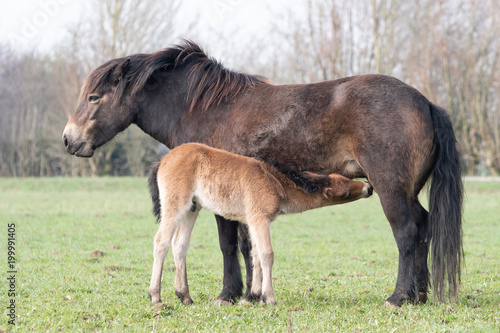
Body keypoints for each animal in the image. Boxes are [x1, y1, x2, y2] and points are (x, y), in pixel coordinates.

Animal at [146, 141, 374, 304]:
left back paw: (185, 296)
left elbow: (255, 254)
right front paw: (269, 298)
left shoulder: (252, 221)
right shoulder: (259, 219)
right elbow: (266, 255)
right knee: (160, 242)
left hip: (192, 209)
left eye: (344, 178)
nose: (369, 187)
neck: (273, 181)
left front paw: (254, 296)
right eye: (344, 193)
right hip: (175, 206)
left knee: (180, 246)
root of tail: (164, 159)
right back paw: (155, 296)